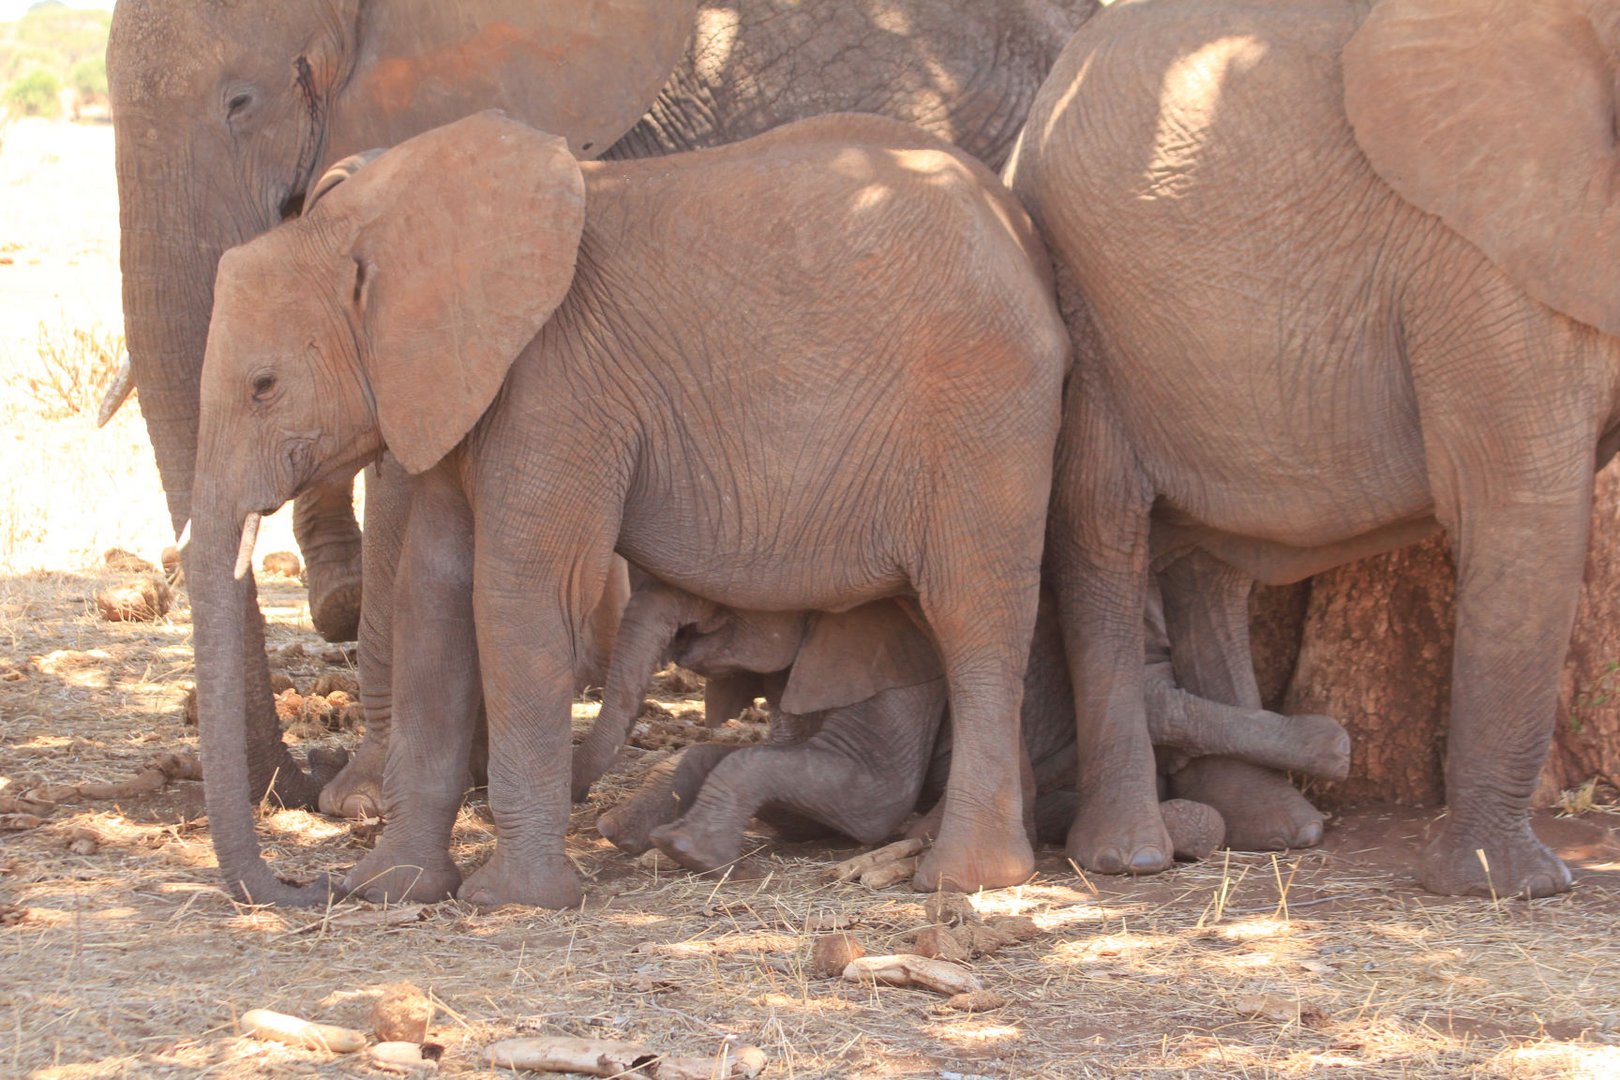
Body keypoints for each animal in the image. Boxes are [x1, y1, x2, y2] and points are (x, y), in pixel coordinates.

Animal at [997, 0, 1620, 900]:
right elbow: (1521, 510)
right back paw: (1132, 854)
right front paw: (1507, 887)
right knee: (1103, 534)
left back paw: (1275, 824)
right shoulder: (1484, 265)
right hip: (1084, 307)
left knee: (1209, 563)